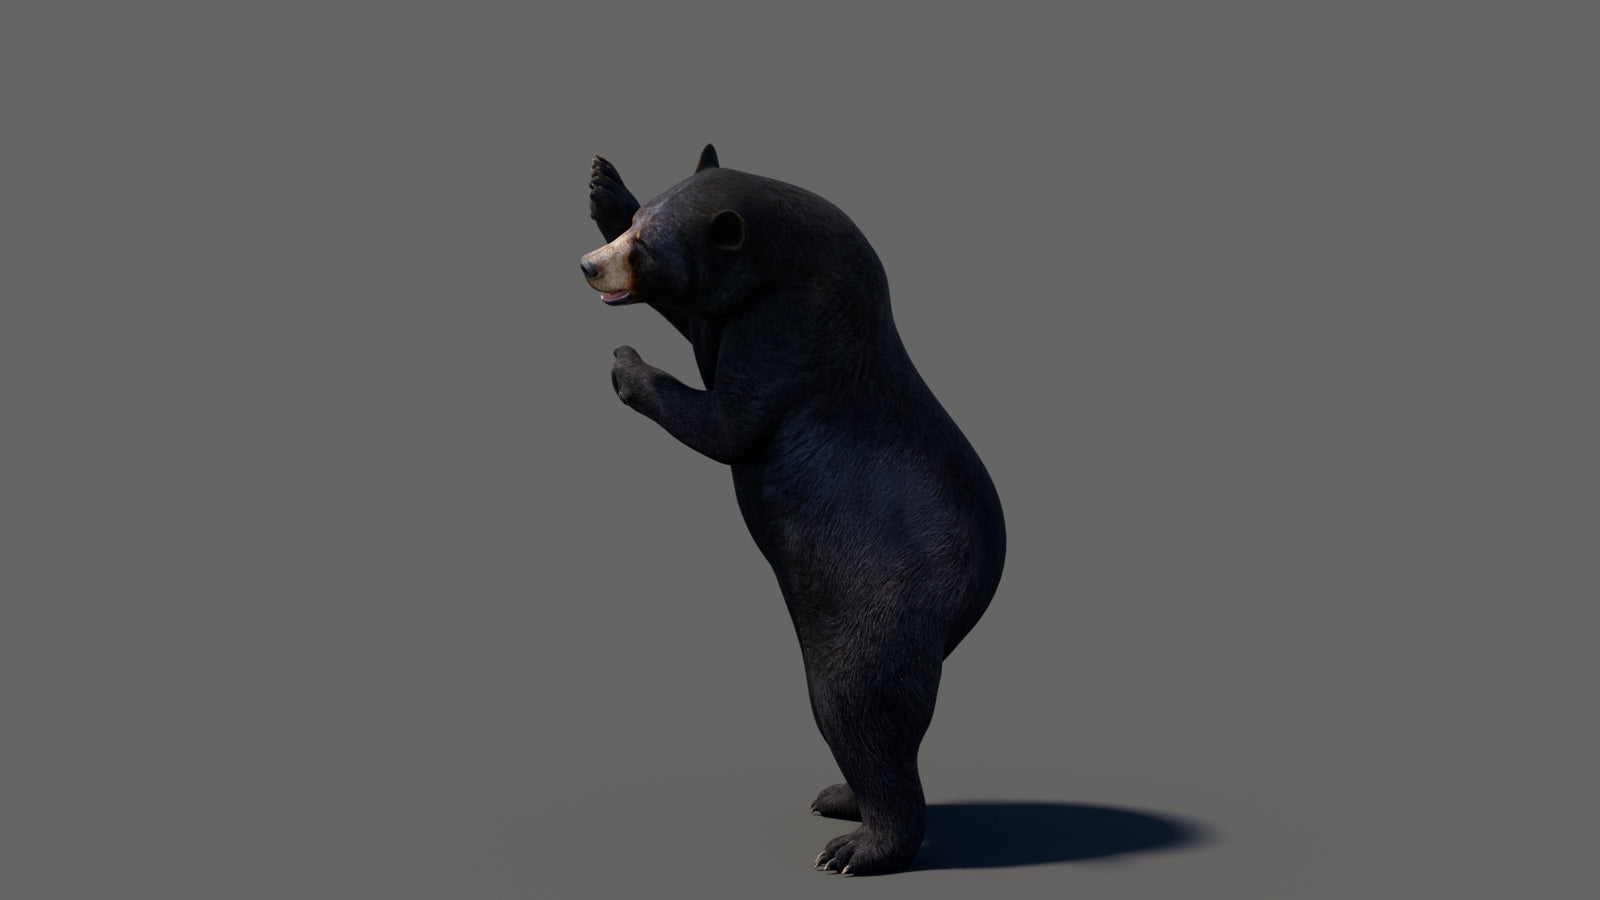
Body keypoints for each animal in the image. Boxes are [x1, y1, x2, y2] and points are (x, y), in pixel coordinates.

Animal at [581, 145, 1005, 875]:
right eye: (634, 228)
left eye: (648, 251)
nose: (588, 265)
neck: (791, 263)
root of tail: (975, 594)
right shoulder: (748, 309)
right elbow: (698, 325)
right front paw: (603, 184)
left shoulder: (794, 329)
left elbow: (728, 422)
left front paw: (627, 365)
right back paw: (840, 796)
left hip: (877, 611)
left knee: (856, 707)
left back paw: (860, 846)